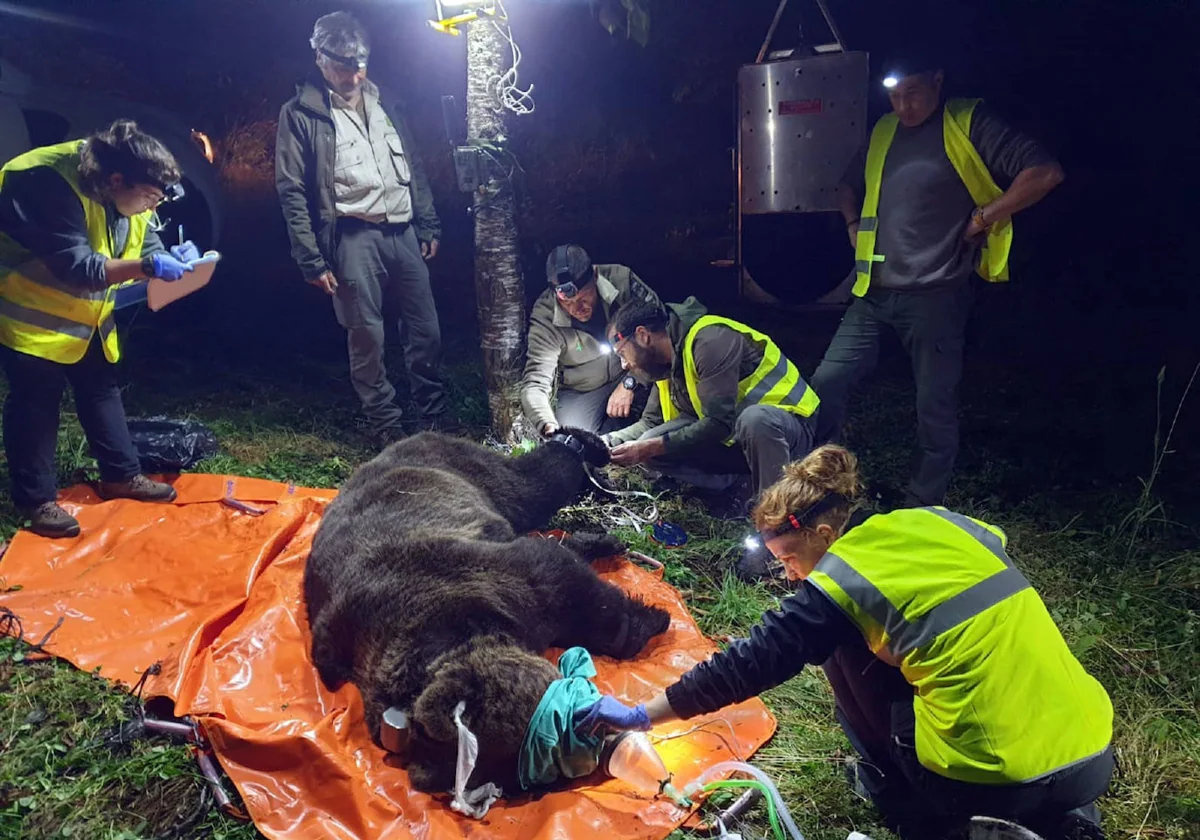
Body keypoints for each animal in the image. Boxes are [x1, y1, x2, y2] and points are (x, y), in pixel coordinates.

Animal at [304, 429, 672, 796]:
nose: (597, 746)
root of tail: (409, 438)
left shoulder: (493, 577)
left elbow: (575, 589)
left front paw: (650, 619)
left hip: (471, 474)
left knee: (536, 482)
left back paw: (584, 446)